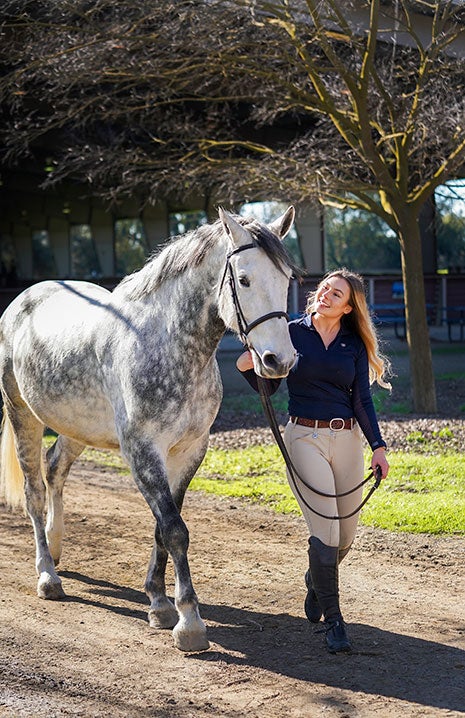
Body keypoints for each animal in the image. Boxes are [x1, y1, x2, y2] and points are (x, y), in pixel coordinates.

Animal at [0, 206, 297, 652]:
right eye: (244, 279)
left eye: (287, 280)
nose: (279, 361)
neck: (167, 343)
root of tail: (20, 302)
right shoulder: (142, 451)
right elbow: (174, 529)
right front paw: (188, 621)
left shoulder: (189, 451)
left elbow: (163, 528)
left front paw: (158, 601)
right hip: (23, 416)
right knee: (34, 492)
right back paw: (47, 575)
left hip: (75, 427)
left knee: (55, 470)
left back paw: (55, 545)